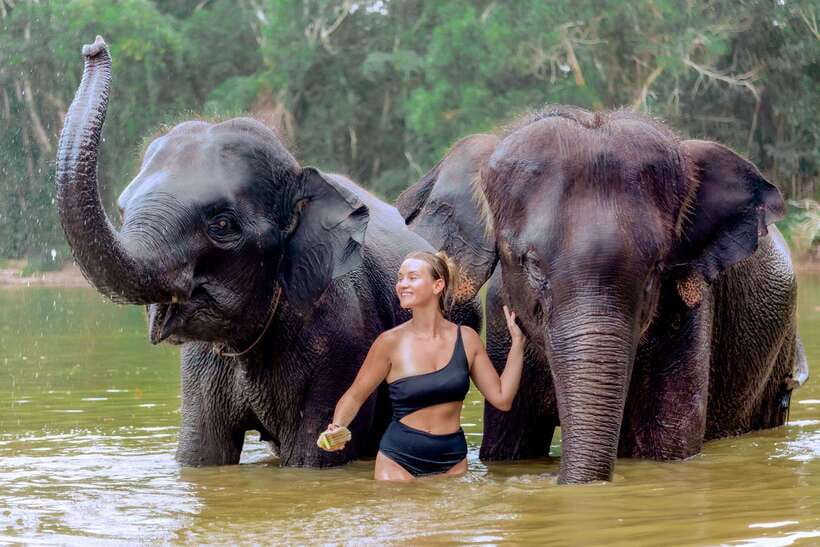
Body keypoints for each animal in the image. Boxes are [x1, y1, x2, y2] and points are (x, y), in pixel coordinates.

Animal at [55, 37, 479, 468]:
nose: (94, 46)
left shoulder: (342, 343)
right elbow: (201, 453)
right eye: (123, 211)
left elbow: (312, 457)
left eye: (222, 224)